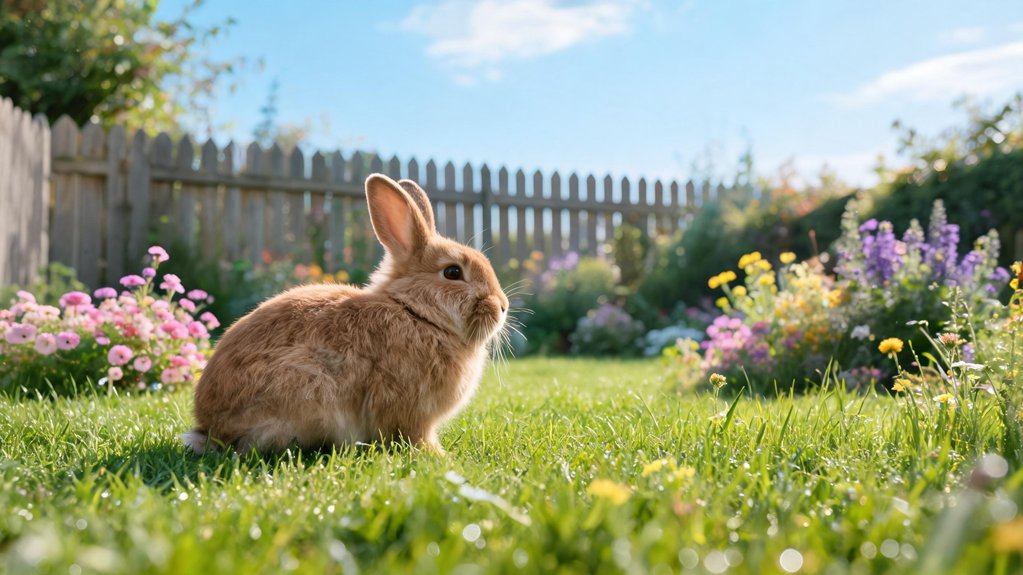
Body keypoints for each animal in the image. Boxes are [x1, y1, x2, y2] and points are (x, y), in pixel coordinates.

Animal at [182, 173, 509, 455]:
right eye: (453, 272)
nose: (503, 306)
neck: (415, 313)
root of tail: (209, 429)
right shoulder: (410, 413)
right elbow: (414, 436)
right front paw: (439, 457)